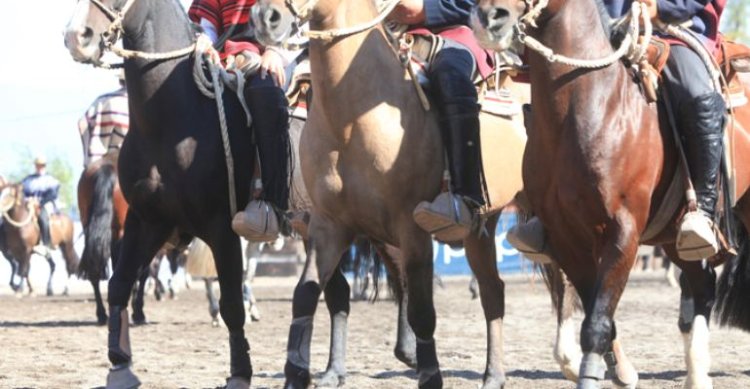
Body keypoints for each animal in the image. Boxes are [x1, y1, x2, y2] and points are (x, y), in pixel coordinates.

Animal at [250, 1, 548, 386]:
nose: (265, 17)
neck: (353, 120)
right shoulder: (327, 226)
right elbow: (309, 294)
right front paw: (304, 373)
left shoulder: (412, 229)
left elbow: (421, 309)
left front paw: (429, 374)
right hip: (481, 225)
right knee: (493, 290)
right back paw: (493, 375)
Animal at [476, 1, 750, 386]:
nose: (490, 17)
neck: (587, 107)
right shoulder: (568, 240)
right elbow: (595, 311)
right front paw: (619, 370)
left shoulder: (622, 233)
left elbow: (596, 325)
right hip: (675, 238)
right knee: (702, 286)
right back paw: (697, 374)